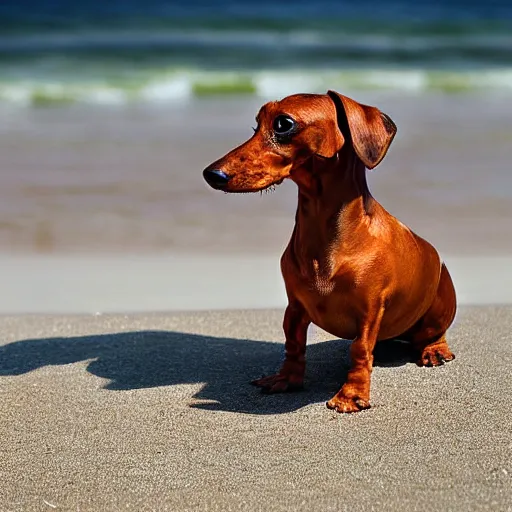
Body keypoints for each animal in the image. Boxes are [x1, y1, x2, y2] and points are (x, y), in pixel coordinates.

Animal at [202, 91, 454, 412]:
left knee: (434, 332)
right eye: (256, 124)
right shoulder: (295, 307)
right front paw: (286, 379)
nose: (211, 174)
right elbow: (293, 344)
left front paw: (351, 393)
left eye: (283, 124)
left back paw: (434, 349)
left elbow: (360, 349)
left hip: (439, 306)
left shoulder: (370, 311)